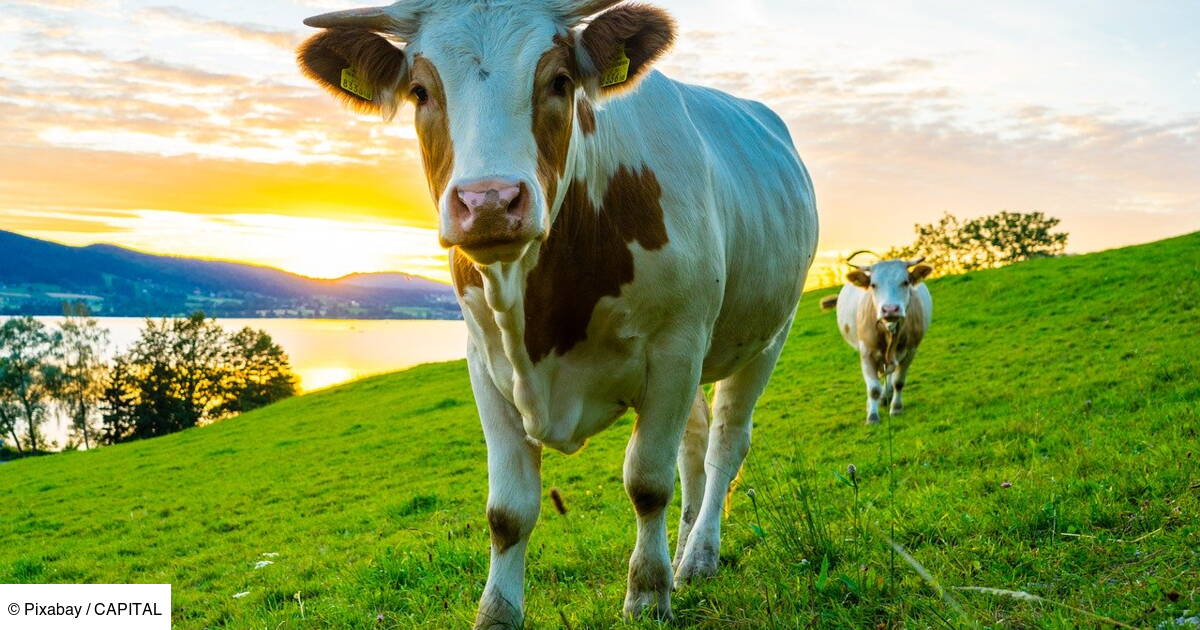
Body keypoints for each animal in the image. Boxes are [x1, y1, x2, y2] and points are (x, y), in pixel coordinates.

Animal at [297, 1, 819, 626]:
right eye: (420, 91)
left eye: (560, 81)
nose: (489, 202)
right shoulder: (484, 363)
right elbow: (508, 510)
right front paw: (497, 611)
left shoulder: (675, 345)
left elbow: (647, 481)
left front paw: (647, 594)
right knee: (693, 448)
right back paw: (685, 546)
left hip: (768, 335)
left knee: (724, 444)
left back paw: (698, 556)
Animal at [823, 258, 933, 424]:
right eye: (873, 285)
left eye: (905, 282)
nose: (890, 309)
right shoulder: (866, 352)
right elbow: (873, 388)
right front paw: (872, 416)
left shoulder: (910, 351)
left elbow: (898, 382)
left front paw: (896, 408)